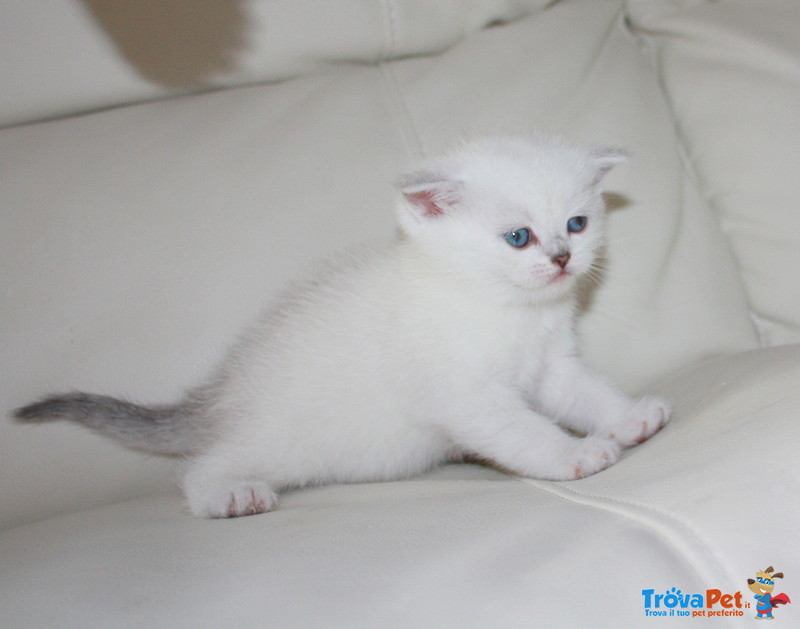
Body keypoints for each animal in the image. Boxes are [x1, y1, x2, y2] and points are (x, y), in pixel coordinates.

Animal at [15, 132, 672, 516]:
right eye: (519, 237)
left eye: (578, 224)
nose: (562, 258)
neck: (505, 308)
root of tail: (221, 394)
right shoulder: (466, 394)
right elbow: (525, 431)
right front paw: (576, 454)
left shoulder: (551, 367)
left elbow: (587, 393)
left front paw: (627, 418)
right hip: (282, 443)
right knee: (202, 466)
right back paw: (230, 493)